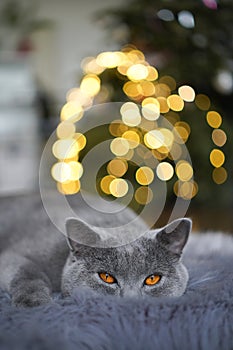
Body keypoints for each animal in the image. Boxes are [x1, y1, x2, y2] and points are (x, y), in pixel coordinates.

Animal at [0, 194, 191, 306]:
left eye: (152, 279)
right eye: (106, 277)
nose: (130, 302)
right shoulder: (14, 257)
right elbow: (28, 274)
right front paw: (36, 304)